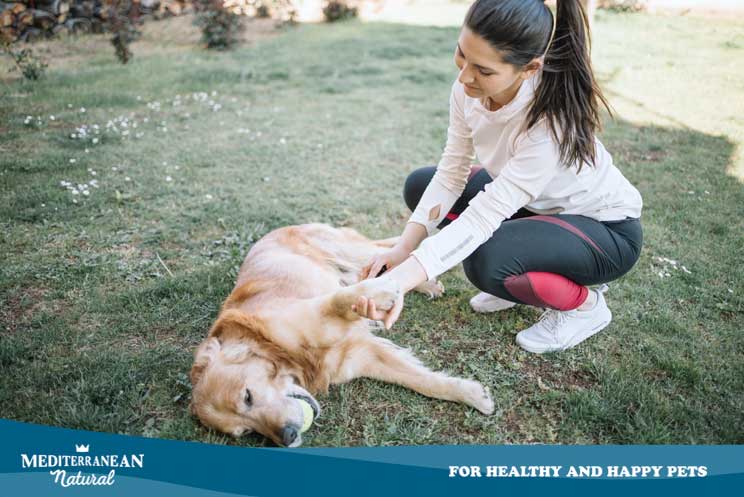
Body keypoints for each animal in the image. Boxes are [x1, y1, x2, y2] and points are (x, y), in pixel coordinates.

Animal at [192, 223, 494, 448]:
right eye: (246, 431)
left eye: (247, 397)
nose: (288, 436)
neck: (284, 352)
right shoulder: (363, 357)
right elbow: (423, 381)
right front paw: (472, 395)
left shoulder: (310, 312)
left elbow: (339, 299)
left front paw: (380, 293)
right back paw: (426, 284)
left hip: (351, 252)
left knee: (392, 253)